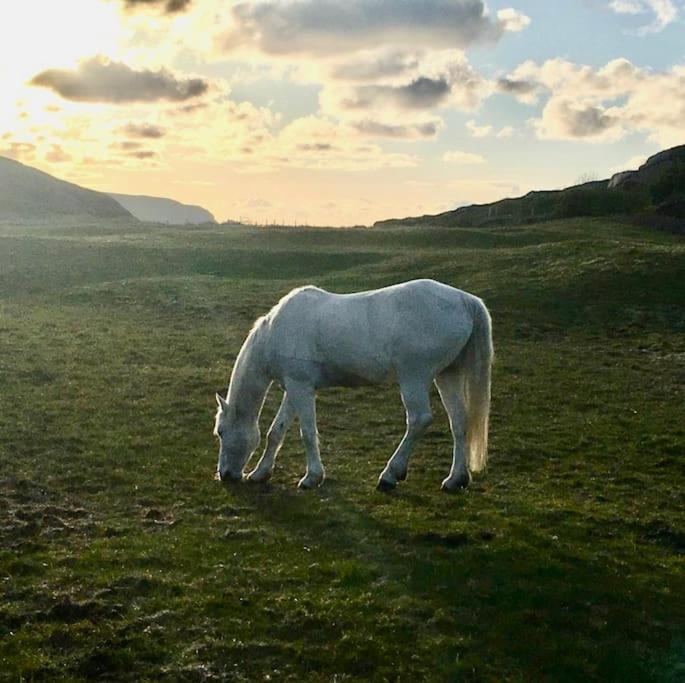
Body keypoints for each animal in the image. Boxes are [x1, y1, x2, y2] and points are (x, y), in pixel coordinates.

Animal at [214, 278, 492, 492]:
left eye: (221, 431)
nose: (225, 475)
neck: (277, 331)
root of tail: (465, 300)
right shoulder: (295, 388)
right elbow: (276, 432)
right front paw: (260, 473)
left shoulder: (301, 388)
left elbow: (307, 433)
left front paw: (311, 477)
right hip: (447, 375)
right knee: (459, 421)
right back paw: (455, 479)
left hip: (414, 378)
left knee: (419, 420)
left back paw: (390, 475)